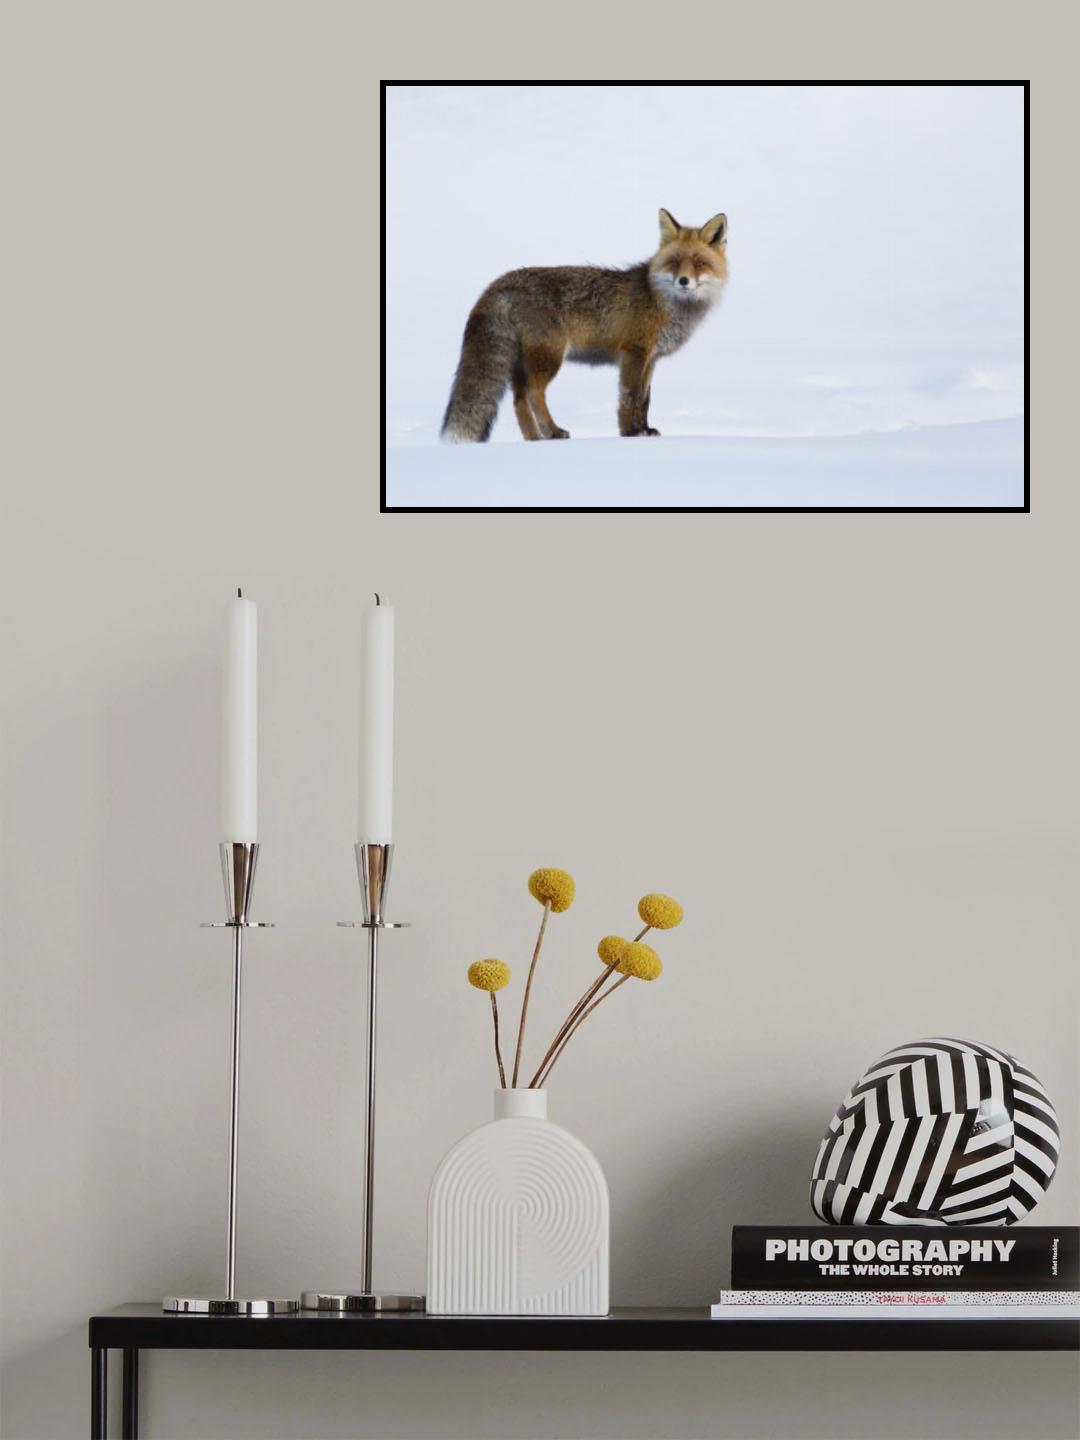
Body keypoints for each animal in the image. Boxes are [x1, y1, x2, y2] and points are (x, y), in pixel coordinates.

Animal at [440, 209, 728, 443]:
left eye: (700, 263)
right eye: (675, 262)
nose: (683, 281)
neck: (663, 301)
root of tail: (502, 280)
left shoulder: (652, 359)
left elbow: (645, 399)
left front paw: (644, 430)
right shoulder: (634, 352)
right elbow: (630, 395)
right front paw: (630, 432)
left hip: (525, 360)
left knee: (518, 398)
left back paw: (534, 438)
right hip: (550, 356)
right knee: (534, 393)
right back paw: (553, 431)